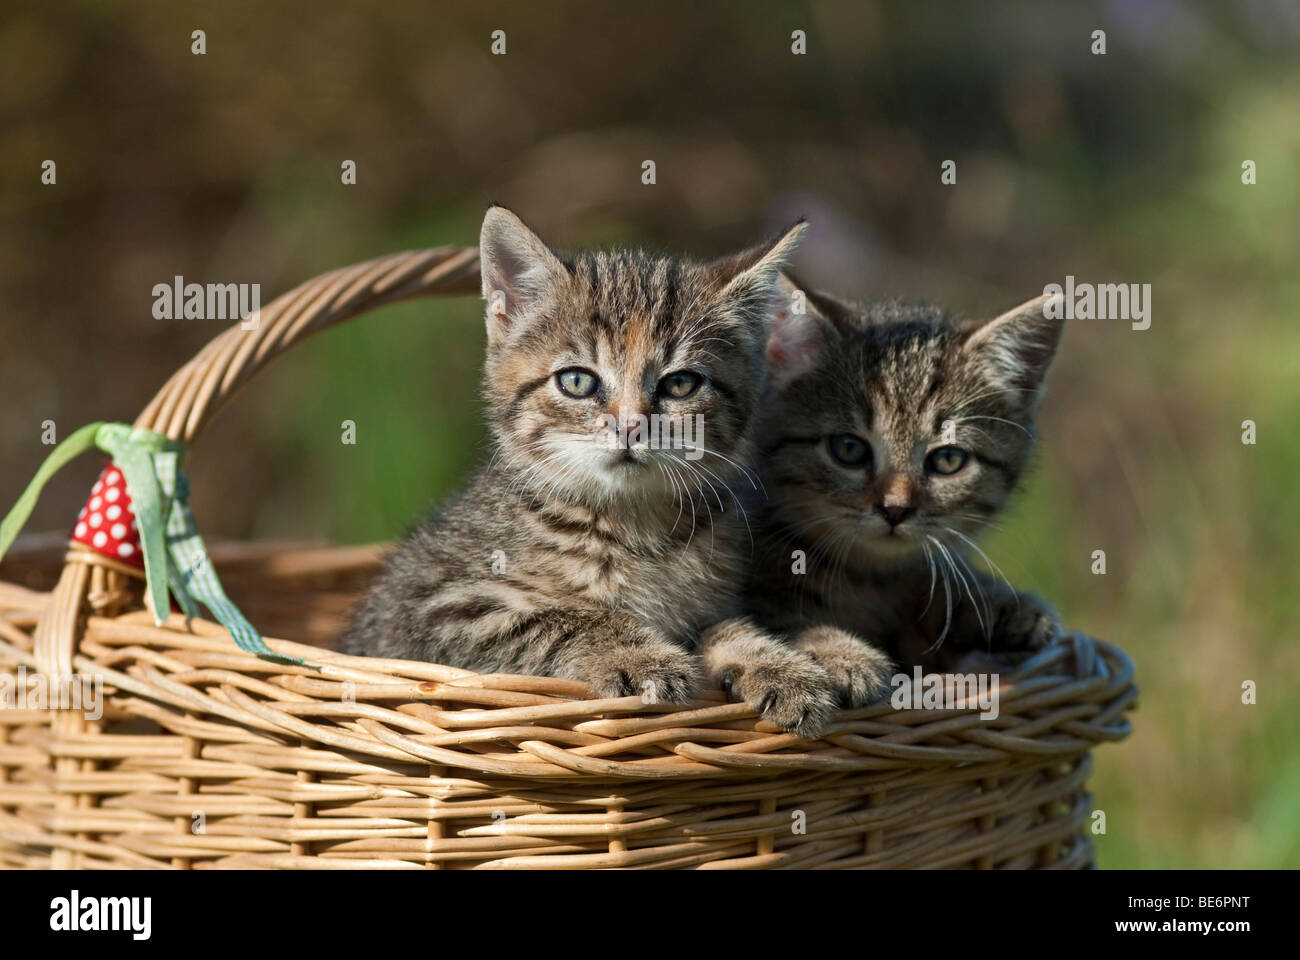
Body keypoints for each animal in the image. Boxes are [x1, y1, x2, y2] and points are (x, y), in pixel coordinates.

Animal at [335, 204, 842, 733]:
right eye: (577, 381)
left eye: (681, 384)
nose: (631, 426)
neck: (631, 526)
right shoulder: (435, 610)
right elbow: (564, 618)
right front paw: (642, 657)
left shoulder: (713, 604)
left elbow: (730, 627)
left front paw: (780, 667)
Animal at [754, 280, 1066, 676]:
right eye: (848, 448)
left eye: (948, 460)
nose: (895, 509)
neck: (869, 579)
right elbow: (784, 615)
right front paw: (839, 652)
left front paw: (994, 604)